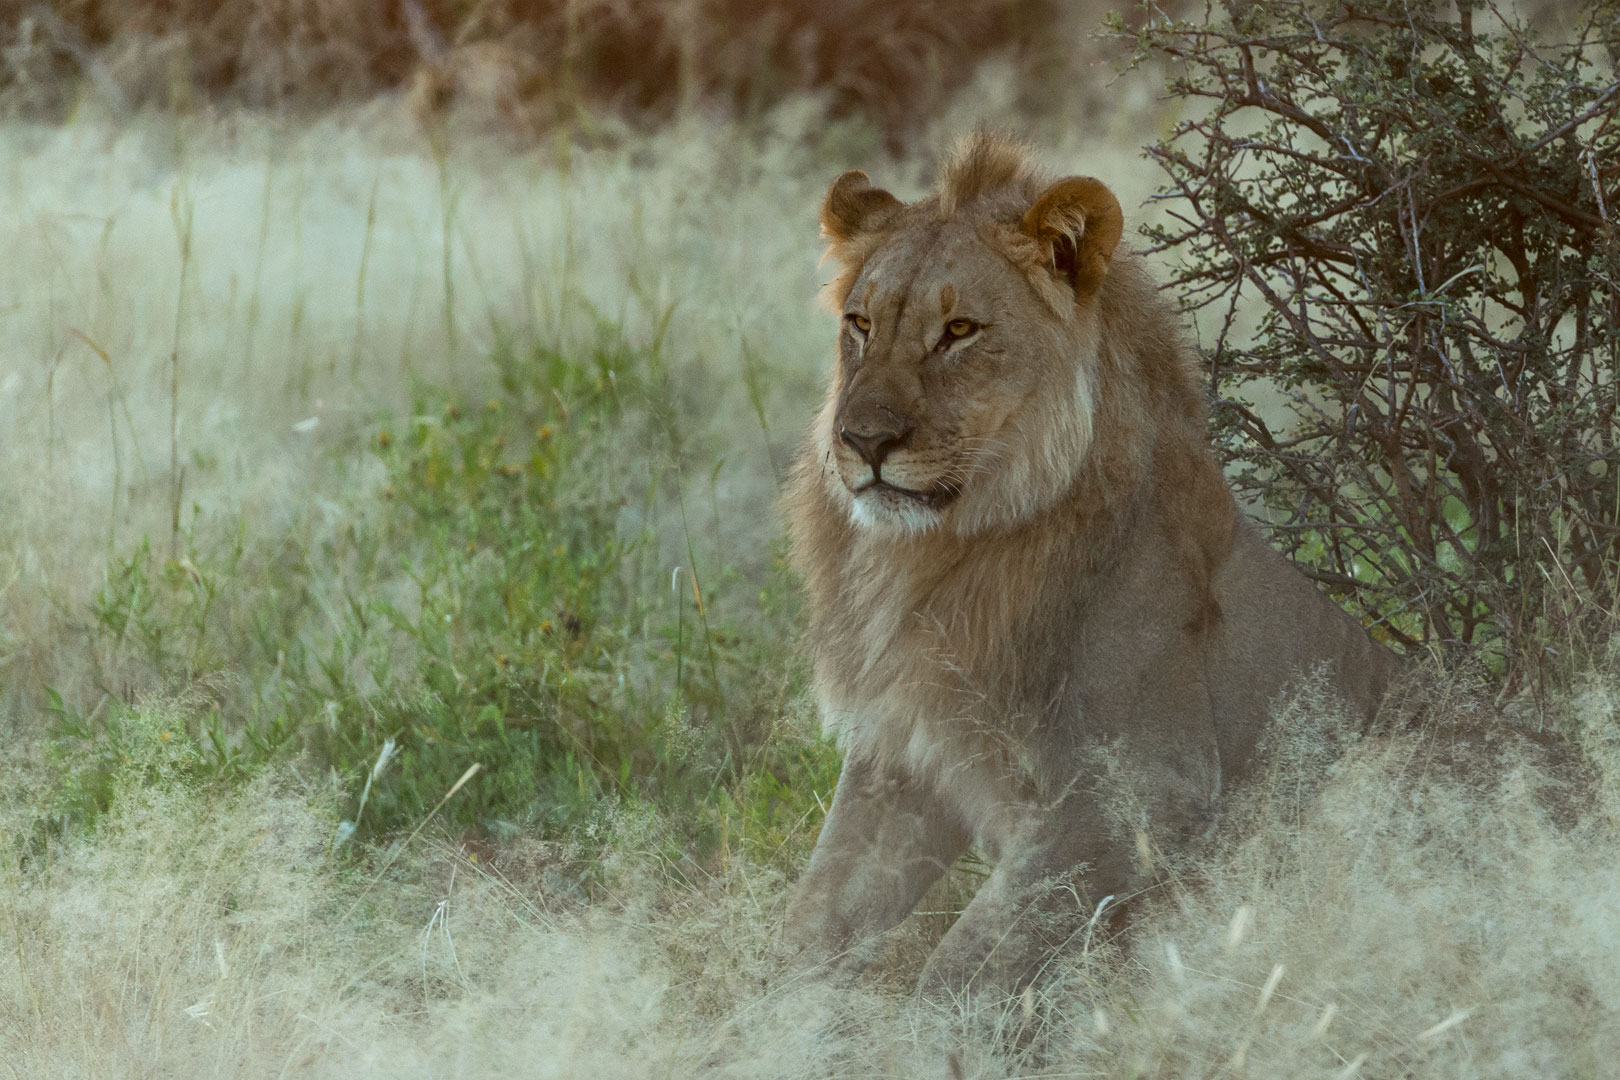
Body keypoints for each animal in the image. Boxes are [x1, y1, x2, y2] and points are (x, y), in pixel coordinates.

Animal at [780, 132, 1406, 997]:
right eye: (860, 324)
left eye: (960, 330)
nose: (863, 440)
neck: (946, 556)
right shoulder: (902, 758)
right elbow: (812, 920)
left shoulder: (1144, 790)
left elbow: (964, 966)